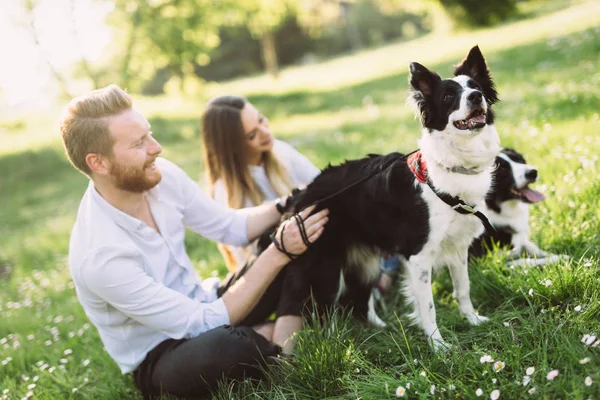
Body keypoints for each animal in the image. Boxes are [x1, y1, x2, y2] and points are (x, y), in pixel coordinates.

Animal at [272, 45, 502, 348]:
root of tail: (300, 195)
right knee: (325, 314)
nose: (475, 97)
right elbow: (428, 307)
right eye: (448, 96)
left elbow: (463, 288)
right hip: (326, 269)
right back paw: (335, 347)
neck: (453, 164)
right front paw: (438, 346)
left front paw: (473, 321)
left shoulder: (458, 247)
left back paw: (382, 330)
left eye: (476, 87)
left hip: (366, 263)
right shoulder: (418, 255)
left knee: (360, 302)